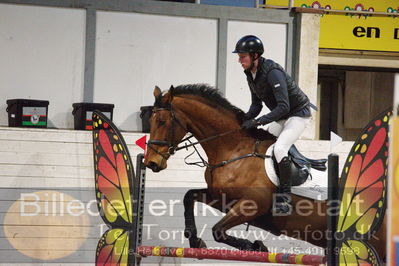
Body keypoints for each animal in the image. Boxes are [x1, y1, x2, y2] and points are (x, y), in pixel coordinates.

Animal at [145, 84, 388, 256]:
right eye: (150, 119)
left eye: (163, 121)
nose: (151, 163)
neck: (233, 149)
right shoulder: (221, 198)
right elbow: (189, 197)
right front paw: (195, 239)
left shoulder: (252, 205)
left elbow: (218, 230)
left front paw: (256, 246)